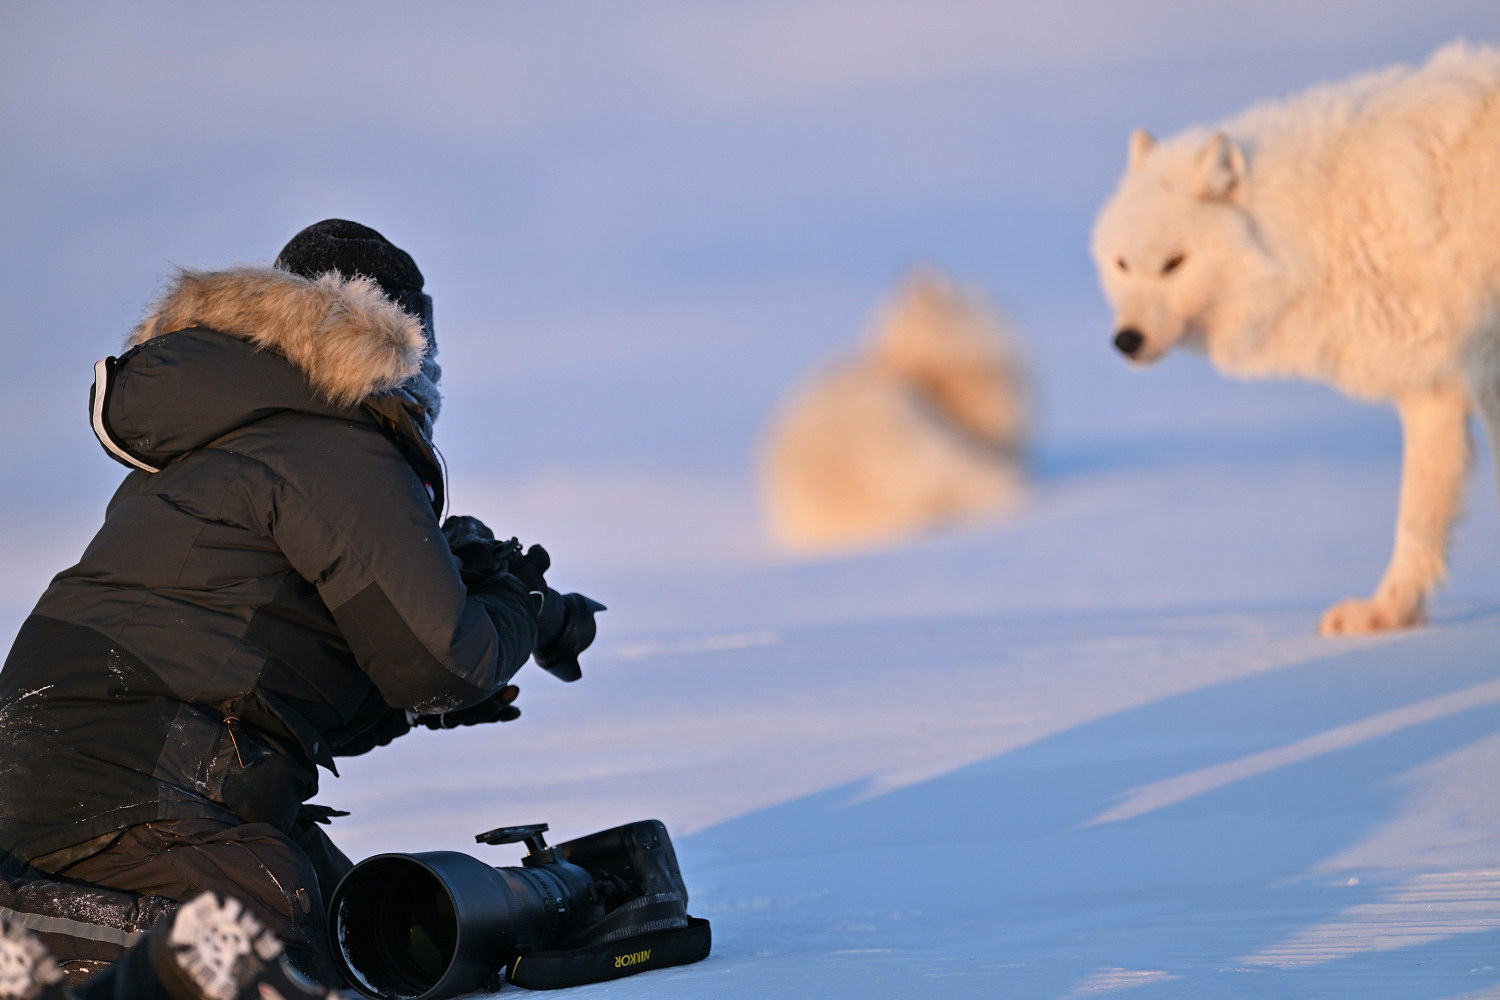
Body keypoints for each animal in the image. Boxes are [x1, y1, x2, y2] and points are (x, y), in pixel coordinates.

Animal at [1091, 41, 1500, 635]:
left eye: (1173, 263)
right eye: (1123, 263)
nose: (1126, 340)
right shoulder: (1433, 390)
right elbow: (1417, 520)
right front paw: (1385, 613)